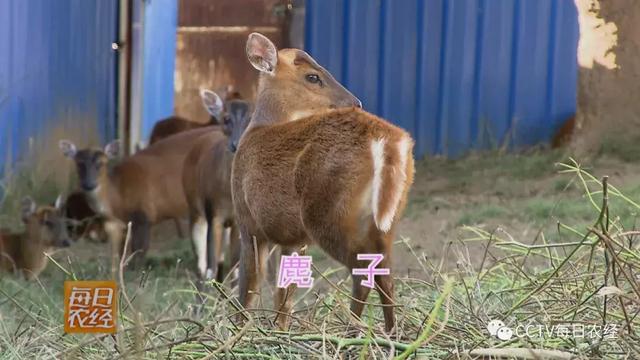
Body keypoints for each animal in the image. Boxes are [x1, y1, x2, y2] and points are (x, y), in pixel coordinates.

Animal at [181, 90, 251, 282]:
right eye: (226, 118)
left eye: (250, 118)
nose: (236, 144)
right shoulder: (213, 212)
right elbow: (209, 267)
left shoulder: (238, 221)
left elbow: (235, 269)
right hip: (195, 210)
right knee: (202, 264)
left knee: (220, 260)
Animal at [232, 33, 418, 332]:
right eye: (313, 76)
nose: (356, 101)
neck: (257, 130)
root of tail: (388, 142)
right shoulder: (294, 238)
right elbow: (284, 295)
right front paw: (280, 329)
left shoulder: (247, 221)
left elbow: (248, 289)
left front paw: (241, 331)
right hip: (386, 218)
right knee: (385, 272)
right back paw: (390, 331)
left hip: (328, 212)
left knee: (363, 271)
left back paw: (354, 328)